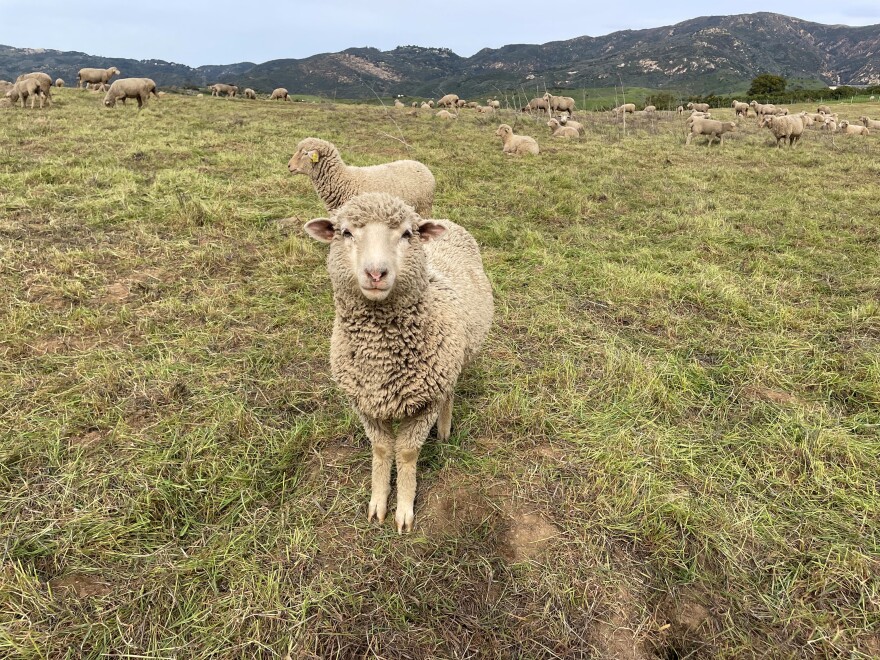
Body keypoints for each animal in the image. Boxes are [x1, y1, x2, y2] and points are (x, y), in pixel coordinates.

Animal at [302, 192, 493, 533]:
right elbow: (380, 449)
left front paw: (404, 510)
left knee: (449, 394)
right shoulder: (364, 403)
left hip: (452, 364)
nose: (376, 273)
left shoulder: (425, 403)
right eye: (346, 232)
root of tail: (447, 221)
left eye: (406, 234)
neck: (381, 359)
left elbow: (406, 453)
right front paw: (378, 503)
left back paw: (444, 430)